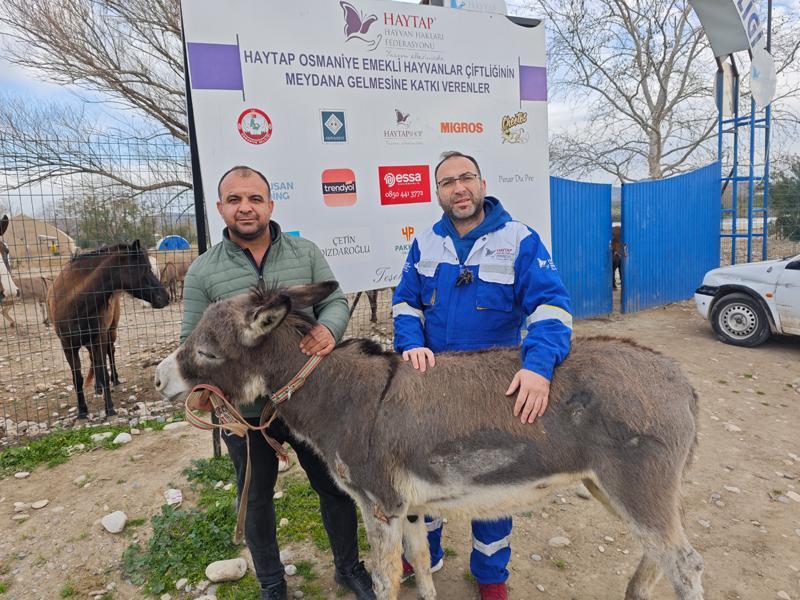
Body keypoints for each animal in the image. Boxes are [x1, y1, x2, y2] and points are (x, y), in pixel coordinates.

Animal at [49, 239, 170, 418]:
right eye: (144, 268)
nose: (166, 297)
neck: (74, 302)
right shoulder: (68, 346)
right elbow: (77, 378)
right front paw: (82, 411)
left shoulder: (99, 337)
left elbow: (104, 371)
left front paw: (110, 408)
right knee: (94, 359)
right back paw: (97, 387)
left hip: (110, 332)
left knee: (109, 354)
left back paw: (114, 380)